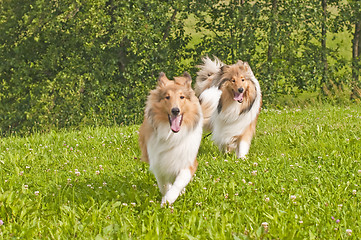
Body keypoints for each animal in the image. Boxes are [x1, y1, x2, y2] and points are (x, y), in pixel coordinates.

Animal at [138, 71, 201, 206]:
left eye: (182, 97)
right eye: (167, 97)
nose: (175, 110)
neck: (172, 135)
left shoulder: (188, 161)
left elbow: (180, 181)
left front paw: (169, 199)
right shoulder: (158, 163)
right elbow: (164, 185)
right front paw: (165, 200)